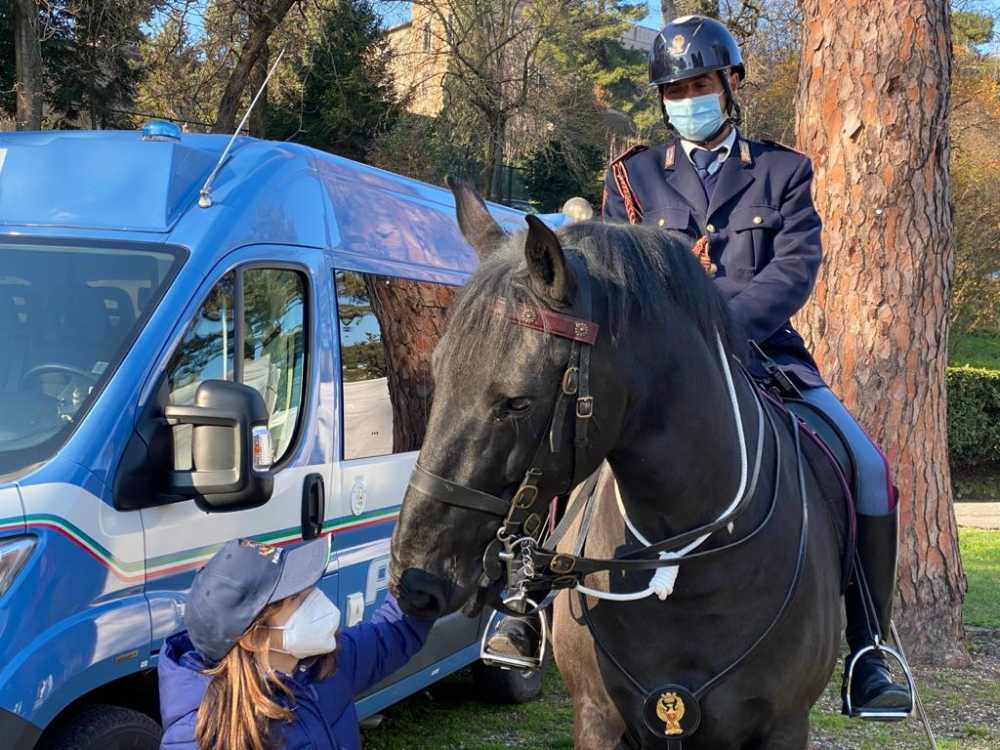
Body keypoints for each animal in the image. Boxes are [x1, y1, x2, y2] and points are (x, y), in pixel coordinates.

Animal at [389, 179, 846, 749]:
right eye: (439, 371)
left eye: (517, 402)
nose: (414, 577)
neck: (684, 567)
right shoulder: (598, 718)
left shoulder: (784, 727)